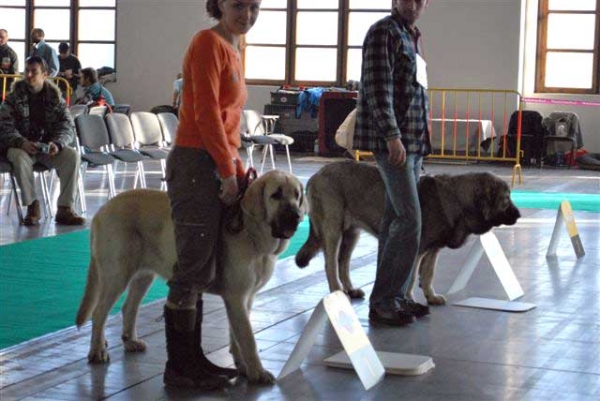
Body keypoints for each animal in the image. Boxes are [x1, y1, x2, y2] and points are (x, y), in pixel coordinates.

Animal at [75, 169, 308, 382]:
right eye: (276, 195)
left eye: (296, 195)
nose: (296, 216)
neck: (252, 233)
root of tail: (101, 211)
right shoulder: (236, 297)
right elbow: (247, 338)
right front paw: (257, 372)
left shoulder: (246, 298)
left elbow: (236, 335)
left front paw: (242, 366)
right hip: (117, 274)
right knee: (99, 313)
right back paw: (98, 351)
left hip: (143, 275)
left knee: (128, 307)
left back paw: (130, 341)